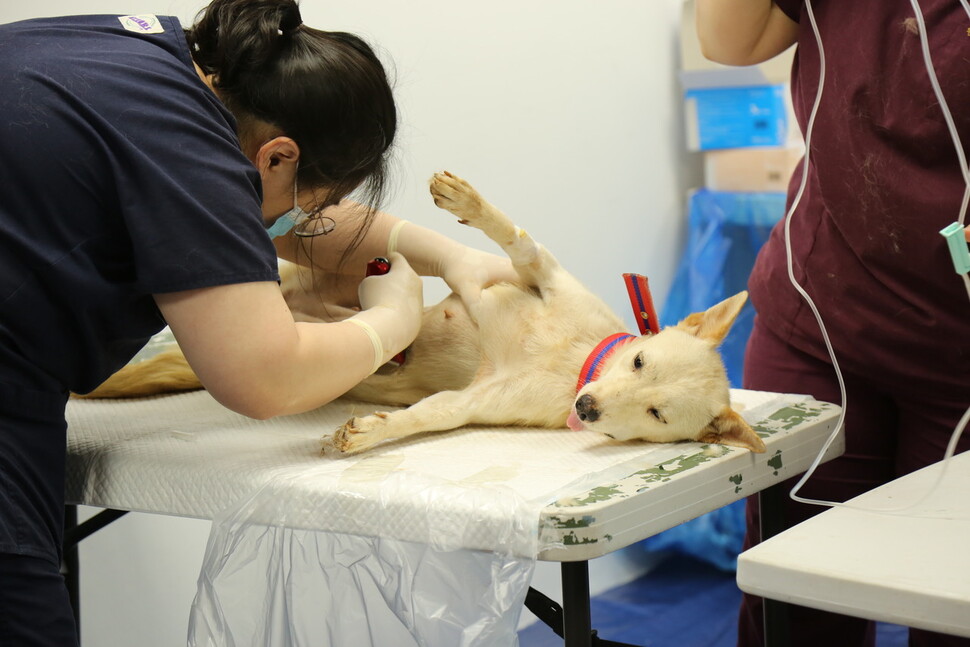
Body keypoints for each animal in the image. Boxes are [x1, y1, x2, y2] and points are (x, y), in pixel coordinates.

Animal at [81, 172, 764, 456]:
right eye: (639, 358)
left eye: (657, 415)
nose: (588, 407)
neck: (572, 361)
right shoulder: (540, 275)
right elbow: (519, 241)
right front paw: (467, 202)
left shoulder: (475, 401)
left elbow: (427, 417)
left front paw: (370, 433)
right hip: (290, 273)